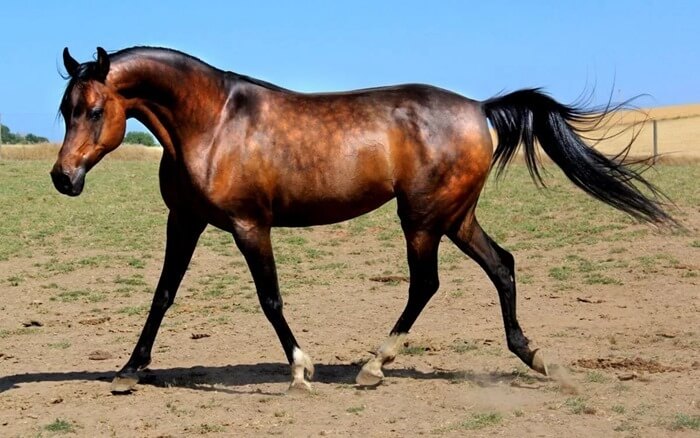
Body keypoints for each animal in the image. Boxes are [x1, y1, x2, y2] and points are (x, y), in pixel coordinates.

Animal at [52, 46, 672, 393]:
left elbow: (270, 299)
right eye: (64, 109)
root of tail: (479, 109)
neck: (213, 123)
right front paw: (129, 371)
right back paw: (535, 357)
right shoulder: (184, 221)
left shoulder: (250, 226)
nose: (63, 178)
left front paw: (301, 372)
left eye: (96, 109)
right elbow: (162, 295)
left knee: (427, 283)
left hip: (422, 219)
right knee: (502, 265)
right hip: (455, 217)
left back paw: (374, 366)